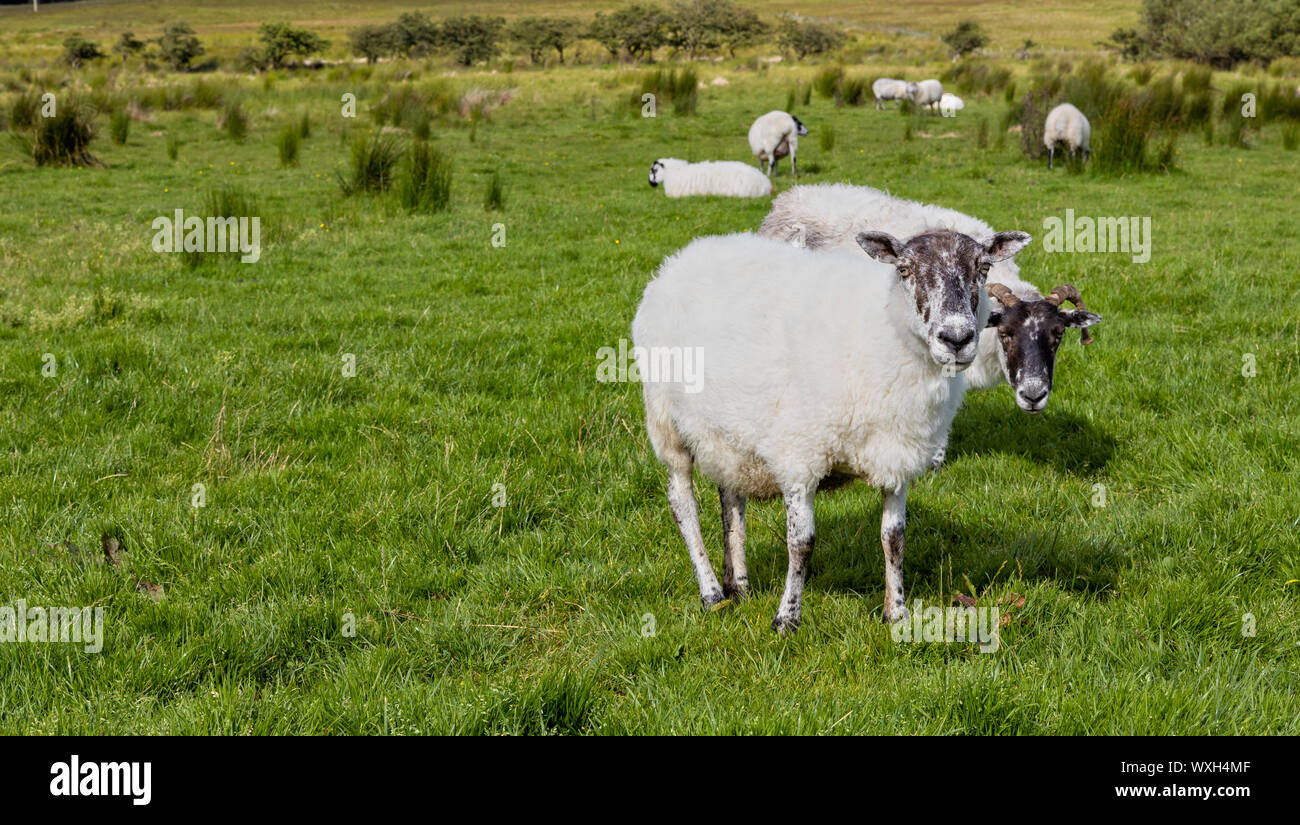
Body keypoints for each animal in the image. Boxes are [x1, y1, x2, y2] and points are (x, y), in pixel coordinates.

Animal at [632, 227, 1031, 632]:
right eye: (904, 269)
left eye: (984, 267)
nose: (957, 339)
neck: (885, 328)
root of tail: (686, 254)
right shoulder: (799, 456)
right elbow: (801, 543)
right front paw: (787, 619)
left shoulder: (896, 454)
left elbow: (894, 538)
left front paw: (897, 613)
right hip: (667, 424)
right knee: (683, 506)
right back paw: (712, 593)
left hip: (728, 433)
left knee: (731, 501)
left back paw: (739, 586)